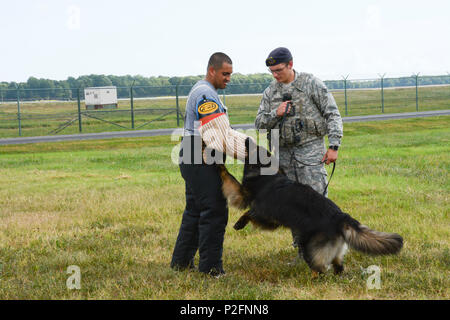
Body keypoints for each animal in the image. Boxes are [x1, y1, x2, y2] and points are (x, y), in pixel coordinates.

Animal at [219, 139, 404, 276]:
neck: (267, 174)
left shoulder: (262, 213)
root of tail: (340, 216)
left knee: (321, 268)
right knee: (338, 266)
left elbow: (245, 207)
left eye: (256, 148)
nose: (247, 139)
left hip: (310, 247)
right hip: (334, 250)